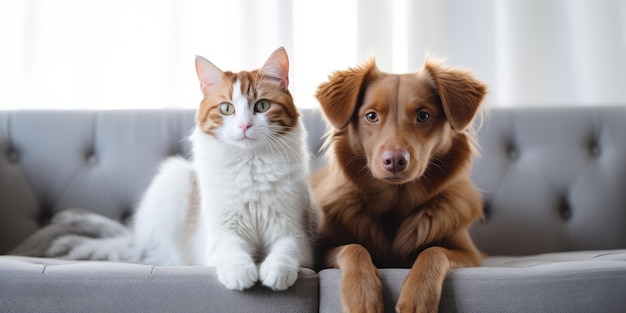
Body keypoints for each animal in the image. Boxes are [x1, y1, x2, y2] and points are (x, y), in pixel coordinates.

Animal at [14, 47, 314, 292]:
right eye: (227, 109)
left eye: (262, 105)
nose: (244, 126)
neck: (250, 165)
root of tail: (136, 239)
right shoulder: (222, 233)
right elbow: (232, 252)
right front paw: (240, 273)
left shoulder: (294, 233)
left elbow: (285, 253)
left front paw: (275, 272)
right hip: (174, 178)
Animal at [314, 56, 486, 312]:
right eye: (371, 116)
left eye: (423, 116)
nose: (395, 161)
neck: (396, 201)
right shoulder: (323, 251)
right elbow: (354, 248)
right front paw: (362, 296)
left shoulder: (470, 255)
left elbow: (433, 251)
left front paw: (418, 298)